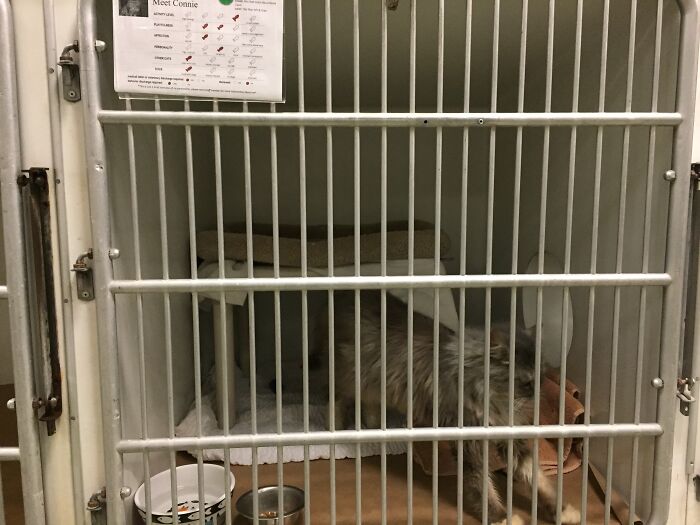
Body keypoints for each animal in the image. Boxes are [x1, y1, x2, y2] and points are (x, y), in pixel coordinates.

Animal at [312, 290, 580, 524]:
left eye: (542, 375)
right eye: (526, 380)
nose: (538, 392)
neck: (497, 401)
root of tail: (345, 293)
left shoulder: (512, 437)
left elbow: (538, 479)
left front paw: (562, 510)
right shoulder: (470, 443)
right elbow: (482, 485)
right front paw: (501, 517)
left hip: (374, 385)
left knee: (368, 405)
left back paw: (374, 429)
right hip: (347, 376)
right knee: (335, 400)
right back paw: (336, 430)